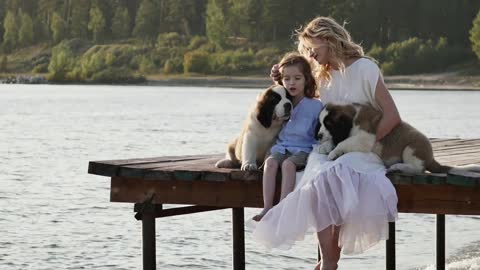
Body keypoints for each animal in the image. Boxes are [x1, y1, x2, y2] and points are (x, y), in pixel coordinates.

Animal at [316, 102, 480, 174]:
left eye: (328, 124)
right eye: (320, 123)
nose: (318, 135)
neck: (354, 116)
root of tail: (431, 158)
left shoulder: (365, 138)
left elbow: (344, 142)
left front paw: (333, 152)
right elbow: (338, 141)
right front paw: (325, 147)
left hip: (411, 148)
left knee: (418, 169)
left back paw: (399, 167)